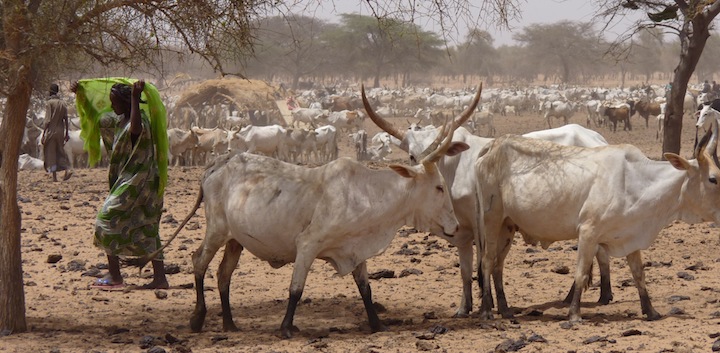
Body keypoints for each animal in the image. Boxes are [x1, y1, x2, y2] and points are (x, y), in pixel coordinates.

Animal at [138, 114, 470, 336]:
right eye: (439, 187)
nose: (455, 226)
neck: (366, 192)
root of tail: (219, 163)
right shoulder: (308, 245)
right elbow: (296, 289)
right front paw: (286, 327)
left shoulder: (355, 251)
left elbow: (366, 289)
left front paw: (376, 324)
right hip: (217, 230)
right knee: (199, 262)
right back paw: (198, 319)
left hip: (235, 240)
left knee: (223, 274)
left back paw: (230, 323)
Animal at [368, 83, 612, 316]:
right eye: (411, 154)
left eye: (440, 150)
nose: (426, 170)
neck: (455, 169)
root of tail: (595, 137)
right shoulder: (463, 230)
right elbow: (466, 270)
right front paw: (464, 307)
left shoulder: (481, 223)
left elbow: (483, 261)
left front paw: (488, 304)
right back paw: (599, 295)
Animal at [472, 129, 720, 322]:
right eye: (713, 179)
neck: (637, 181)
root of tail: (493, 145)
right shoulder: (587, 233)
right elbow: (581, 273)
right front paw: (574, 314)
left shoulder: (630, 237)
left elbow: (639, 275)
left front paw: (651, 311)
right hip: (491, 219)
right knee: (487, 261)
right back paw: (486, 312)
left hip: (507, 226)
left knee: (498, 266)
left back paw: (505, 309)